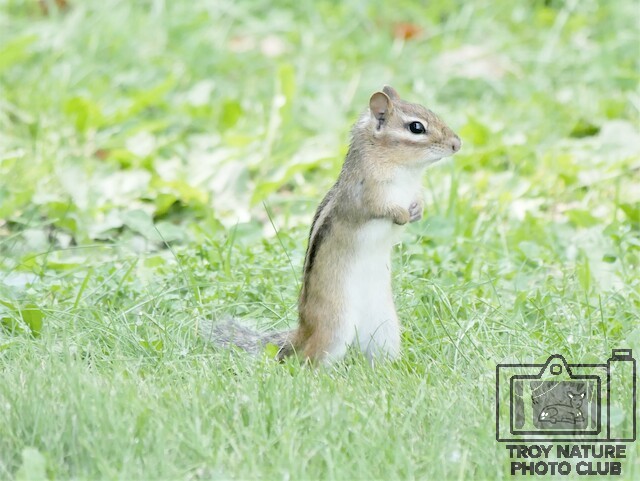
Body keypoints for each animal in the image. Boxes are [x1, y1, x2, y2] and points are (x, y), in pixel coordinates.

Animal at [201, 85, 461, 365]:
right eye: (416, 127)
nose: (457, 144)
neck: (405, 172)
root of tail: (303, 330)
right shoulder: (365, 194)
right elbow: (377, 208)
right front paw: (400, 214)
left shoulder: (413, 191)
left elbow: (417, 202)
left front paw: (416, 212)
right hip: (335, 327)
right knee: (310, 360)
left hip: (385, 329)